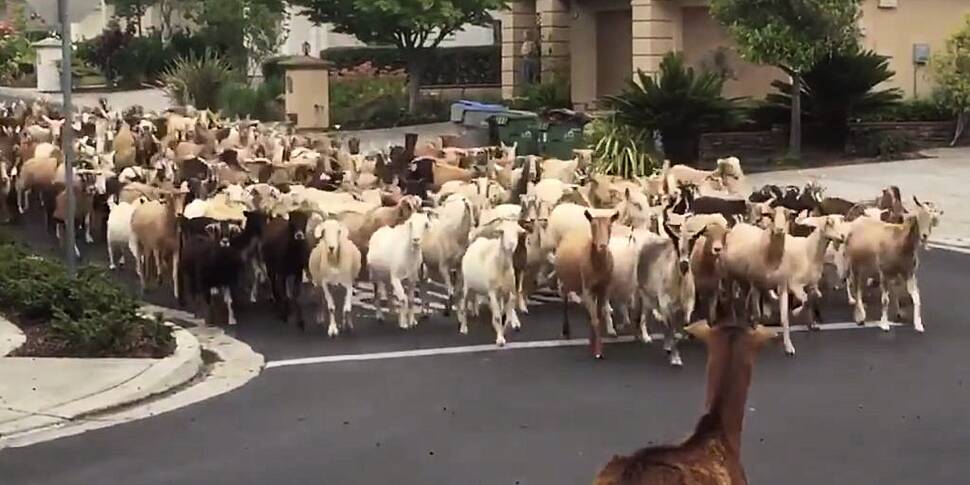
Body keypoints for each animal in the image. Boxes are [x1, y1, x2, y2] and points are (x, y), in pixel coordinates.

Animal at [552, 210, 612, 358]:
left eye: (610, 226)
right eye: (593, 226)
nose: (602, 246)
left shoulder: (603, 288)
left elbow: (597, 317)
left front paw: (592, 343)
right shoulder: (587, 289)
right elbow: (595, 319)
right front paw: (598, 352)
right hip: (566, 282)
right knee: (564, 300)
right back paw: (565, 330)